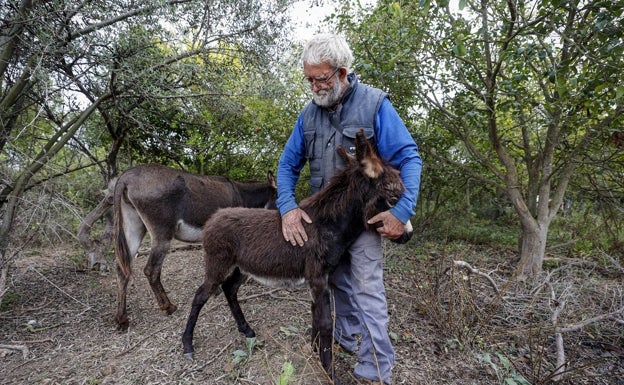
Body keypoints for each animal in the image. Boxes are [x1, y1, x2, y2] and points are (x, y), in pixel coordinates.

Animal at [112, 163, 278, 330]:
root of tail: (127, 176)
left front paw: (215, 290)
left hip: (135, 227)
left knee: (122, 270)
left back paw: (122, 319)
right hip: (162, 235)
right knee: (151, 270)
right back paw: (168, 307)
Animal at [182, 130, 404, 382]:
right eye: (393, 195)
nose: (405, 235)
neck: (327, 225)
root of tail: (213, 218)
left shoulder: (321, 278)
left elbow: (316, 316)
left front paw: (315, 351)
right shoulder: (317, 277)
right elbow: (325, 322)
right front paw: (329, 372)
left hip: (241, 268)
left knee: (230, 290)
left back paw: (246, 330)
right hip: (218, 264)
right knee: (201, 295)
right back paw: (187, 345)